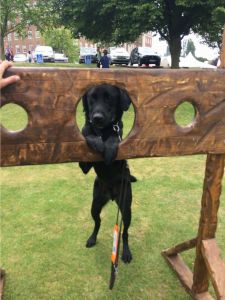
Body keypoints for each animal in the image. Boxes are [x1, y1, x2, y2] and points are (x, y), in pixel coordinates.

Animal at [79, 84, 135, 262]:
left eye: (109, 98)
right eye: (92, 98)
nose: (97, 117)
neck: (102, 131)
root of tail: (111, 196)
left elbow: (114, 138)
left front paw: (109, 146)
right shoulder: (84, 164)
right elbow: (87, 132)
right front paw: (95, 140)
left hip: (126, 208)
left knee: (125, 232)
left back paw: (126, 252)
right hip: (95, 205)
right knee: (97, 223)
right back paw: (92, 238)